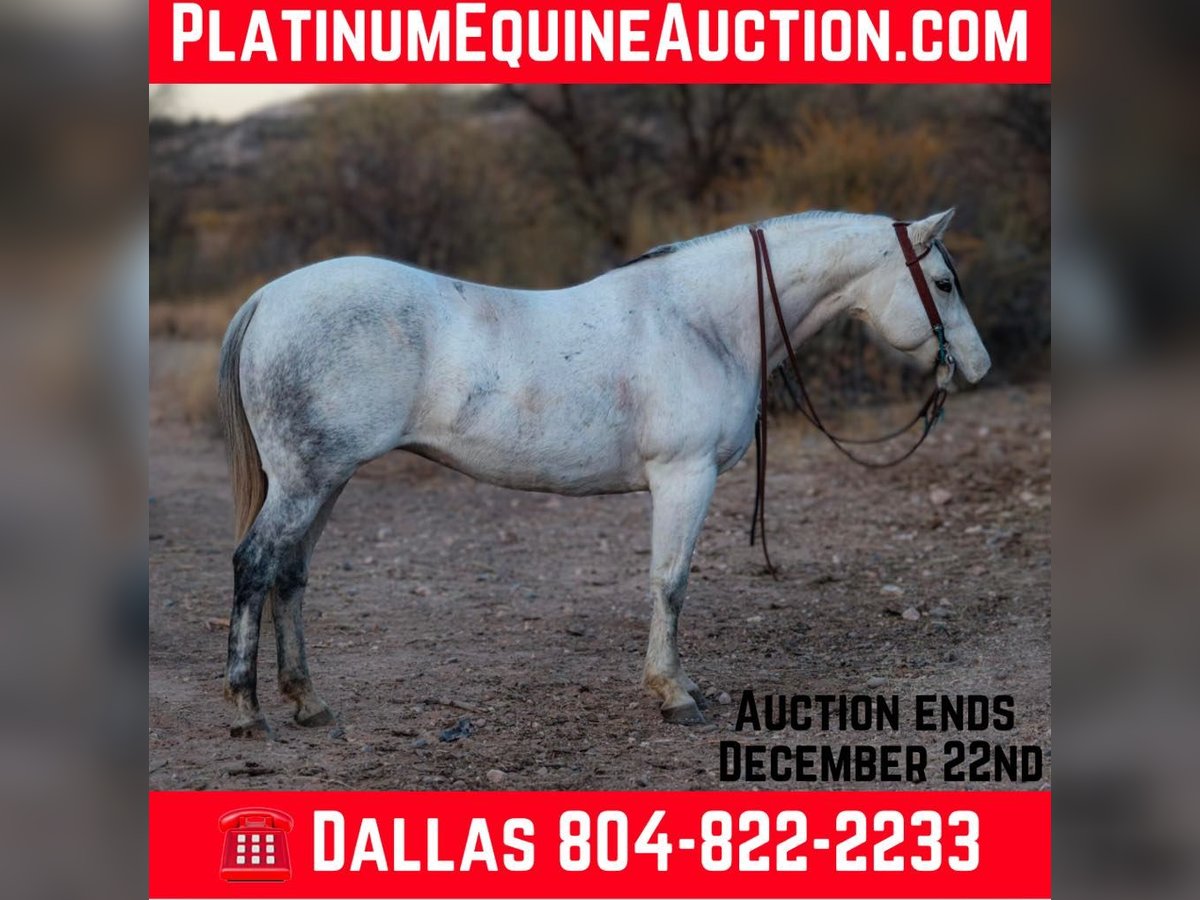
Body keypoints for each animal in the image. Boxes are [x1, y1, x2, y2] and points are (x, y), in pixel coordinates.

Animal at [217, 208, 991, 737]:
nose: (979, 368)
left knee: (290, 574)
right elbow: (670, 583)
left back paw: (308, 702)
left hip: (328, 481)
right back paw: (247, 710)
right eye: (944, 283)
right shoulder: (684, 477)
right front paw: (673, 693)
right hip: (305, 481)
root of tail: (268, 298)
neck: (704, 322)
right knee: (255, 564)